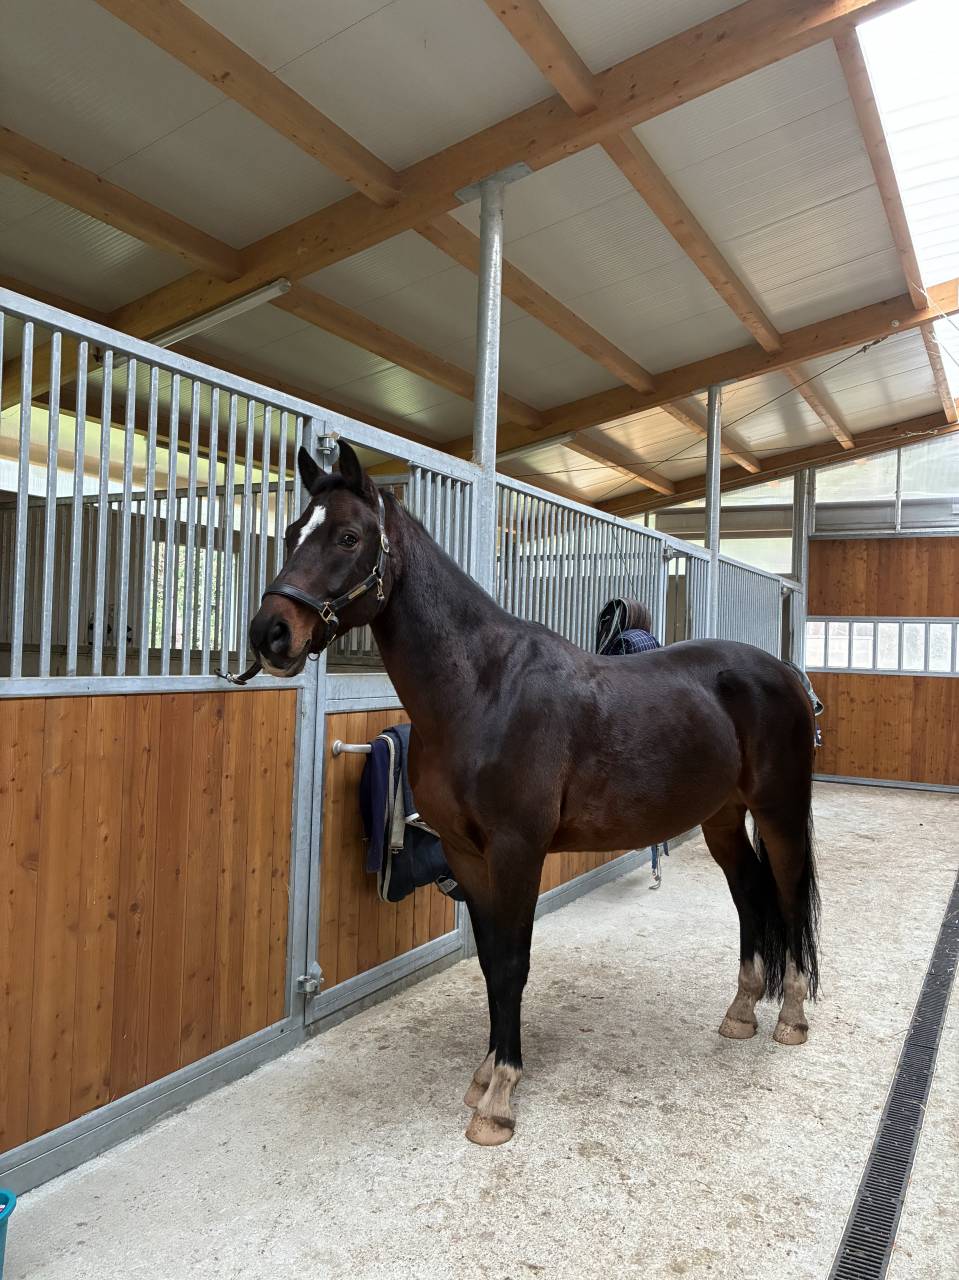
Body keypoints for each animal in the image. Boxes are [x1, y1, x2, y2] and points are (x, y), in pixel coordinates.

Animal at [248, 442, 820, 1147]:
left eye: (349, 537)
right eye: (293, 532)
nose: (270, 634)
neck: (483, 690)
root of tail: (783, 673)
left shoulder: (518, 851)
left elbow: (514, 962)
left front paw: (500, 1099)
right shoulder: (467, 855)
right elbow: (492, 961)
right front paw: (484, 1075)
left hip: (780, 812)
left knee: (788, 894)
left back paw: (791, 1017)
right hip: (721, 818)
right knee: (749, 897)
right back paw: (741, 1012)